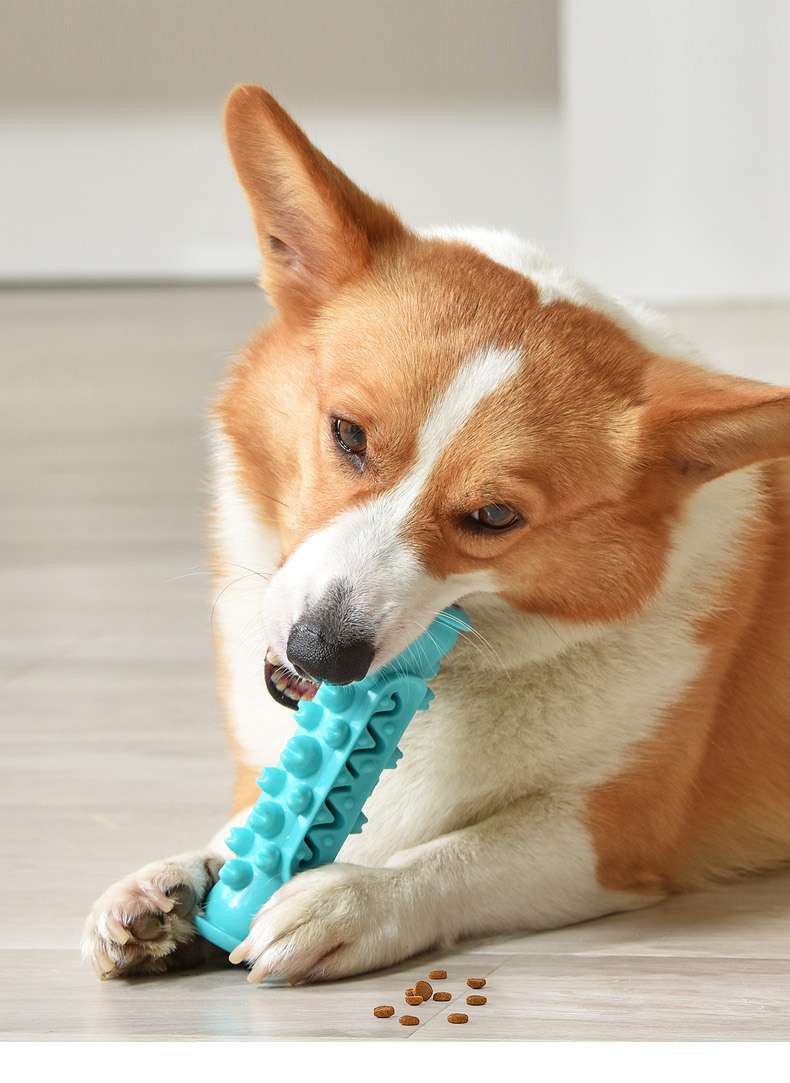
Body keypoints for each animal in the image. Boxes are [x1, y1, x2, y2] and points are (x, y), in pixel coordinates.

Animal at [83, 82, 788, 983]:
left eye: (494, 517)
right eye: (347, 433)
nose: (324, 652)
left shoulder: (609, 830)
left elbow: (460, 853)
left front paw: (351, 896)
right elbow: (248, 828)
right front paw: (172, 881)